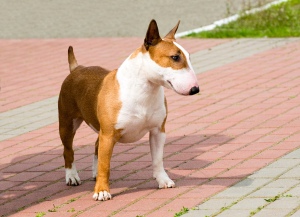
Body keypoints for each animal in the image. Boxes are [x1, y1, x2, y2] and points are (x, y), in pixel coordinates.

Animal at [58, 19, 199, 201]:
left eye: (188, 57)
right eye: (175, 57)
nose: (195, 89)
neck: (145, 90)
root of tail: (76, 68)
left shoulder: (158, 131)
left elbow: (158, 159)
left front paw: (163, 180)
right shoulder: (108, 134)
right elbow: (105, 165)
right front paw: (102, 191)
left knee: (96, 145)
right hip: (68, 123)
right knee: (68, 150)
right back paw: (72, 177)